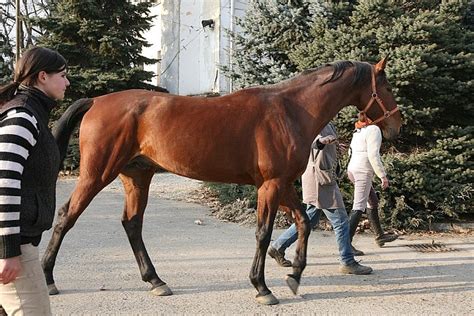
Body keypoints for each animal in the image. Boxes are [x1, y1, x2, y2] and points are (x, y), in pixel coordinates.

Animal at [43, 58, 400, 304]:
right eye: (386, 86)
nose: (396, 124)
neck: (289, 110)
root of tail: (96, 101)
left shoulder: (282, 184)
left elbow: (302, 222)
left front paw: (295, 275)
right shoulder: (270, 185)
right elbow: (263, 233)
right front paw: (262, 287)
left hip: (137, 176)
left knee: (132, 224)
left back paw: (156, 280)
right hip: (96, 174)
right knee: (66, 216)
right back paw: (47, 277)